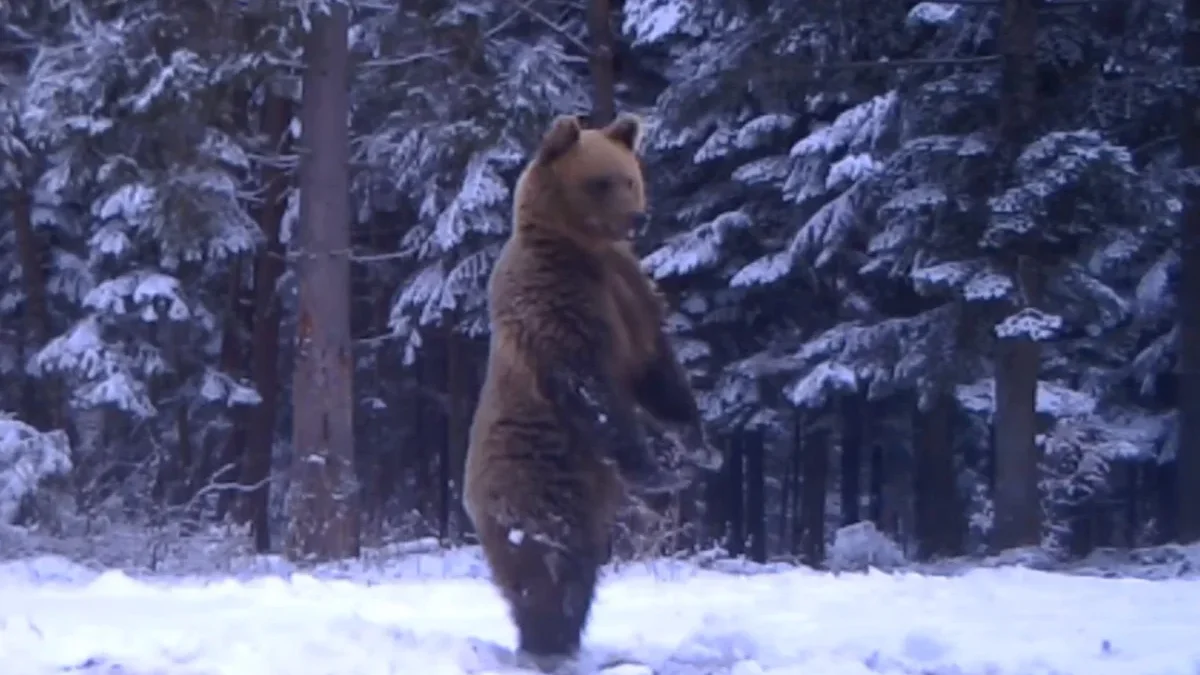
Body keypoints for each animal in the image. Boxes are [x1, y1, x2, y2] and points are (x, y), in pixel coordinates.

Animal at [460, 111, 720, 667]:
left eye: (631, 177)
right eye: (601, 181)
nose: (637, 218)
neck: (583, 250)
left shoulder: (630, 293)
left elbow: (657, 371)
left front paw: (700, 447)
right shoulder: (556, 300)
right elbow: (592, 385)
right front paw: (657, 471)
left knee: (577, 571)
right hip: (534, 480)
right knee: (545, 567)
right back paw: (544, 644)